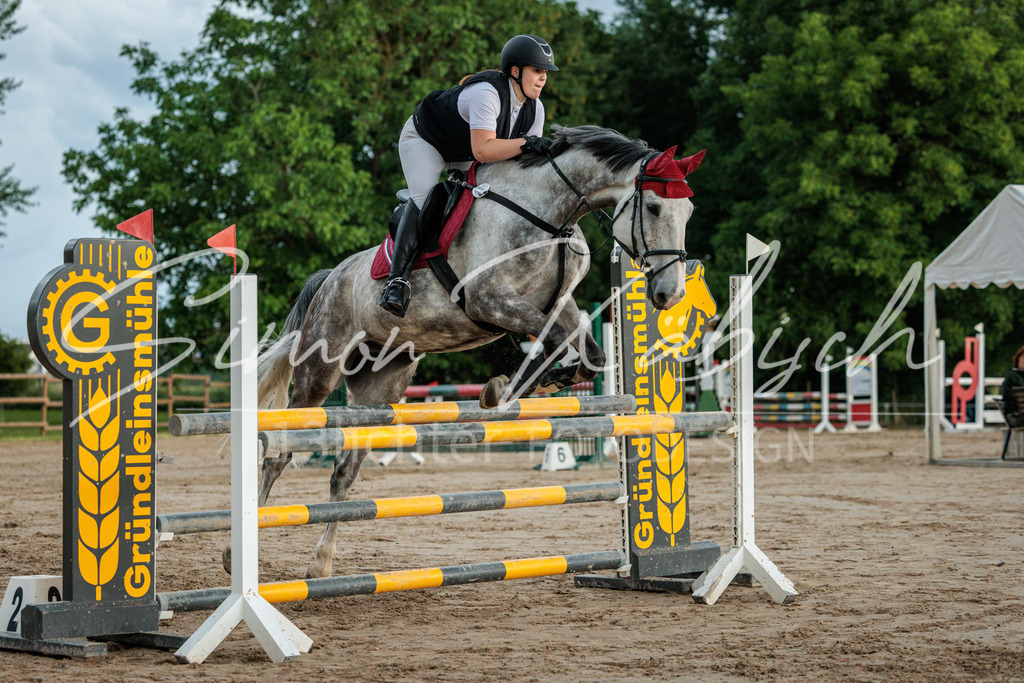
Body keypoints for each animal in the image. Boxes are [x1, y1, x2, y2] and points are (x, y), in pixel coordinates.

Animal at [252, 124, 704, 578]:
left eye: (688, 213)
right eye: (653, 207)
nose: (669, 294)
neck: (550, 217)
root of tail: (331, 278)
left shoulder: (560, 304)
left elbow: (590, 357)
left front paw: (525, 387)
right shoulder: (490, 302)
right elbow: (551, 341)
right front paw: (503, 390)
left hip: (380, 386)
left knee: (344, 472)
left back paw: (320, 565)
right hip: (319, 371)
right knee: (279, 452)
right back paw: (248, 545)